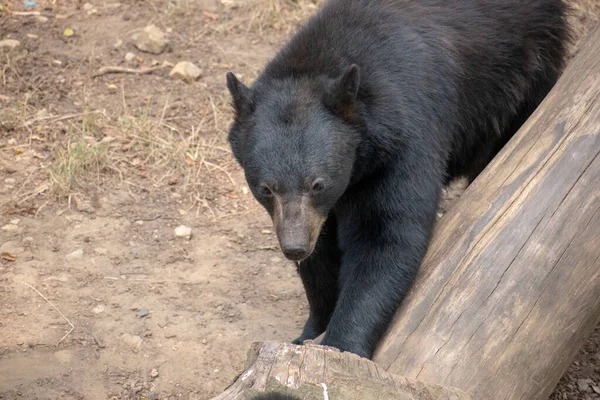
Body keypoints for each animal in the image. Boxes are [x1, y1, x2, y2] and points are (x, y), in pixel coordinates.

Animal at [224, 0, 568, 358]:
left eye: (318, 184)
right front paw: (310, 331)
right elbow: (323, 256)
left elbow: (385, 233)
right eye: (265, 188)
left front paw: (342, 343)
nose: (294, 247)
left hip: (525, 67)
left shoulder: (404, 138)